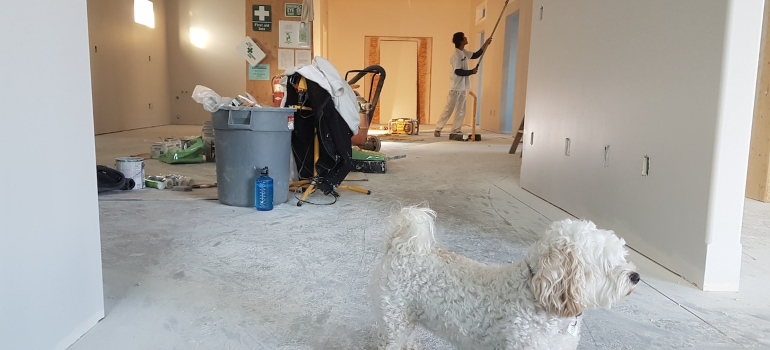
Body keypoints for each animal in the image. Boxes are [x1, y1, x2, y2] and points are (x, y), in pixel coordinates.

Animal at [370, 206, 636, 348]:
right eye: (608, 264)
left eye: (622, 255)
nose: (636, 276)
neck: (538, 296)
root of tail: (401, 246)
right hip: (396, 316)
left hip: (409, 315)